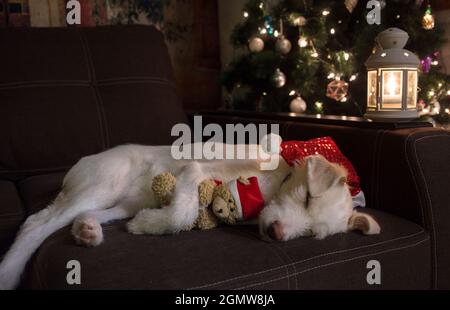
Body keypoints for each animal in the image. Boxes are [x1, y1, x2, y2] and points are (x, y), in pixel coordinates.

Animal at [0, 139, 380, 290]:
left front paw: (146, 223)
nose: (276, 233)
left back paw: (87, 230)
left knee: (90, 214)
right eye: (306, 197)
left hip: (123, 200)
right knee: (36, 224)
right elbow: (181, 213)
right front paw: (151, 224)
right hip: (105, 182)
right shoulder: (195, 170)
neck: (274, 179)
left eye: (311, 234)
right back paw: (9, 271)